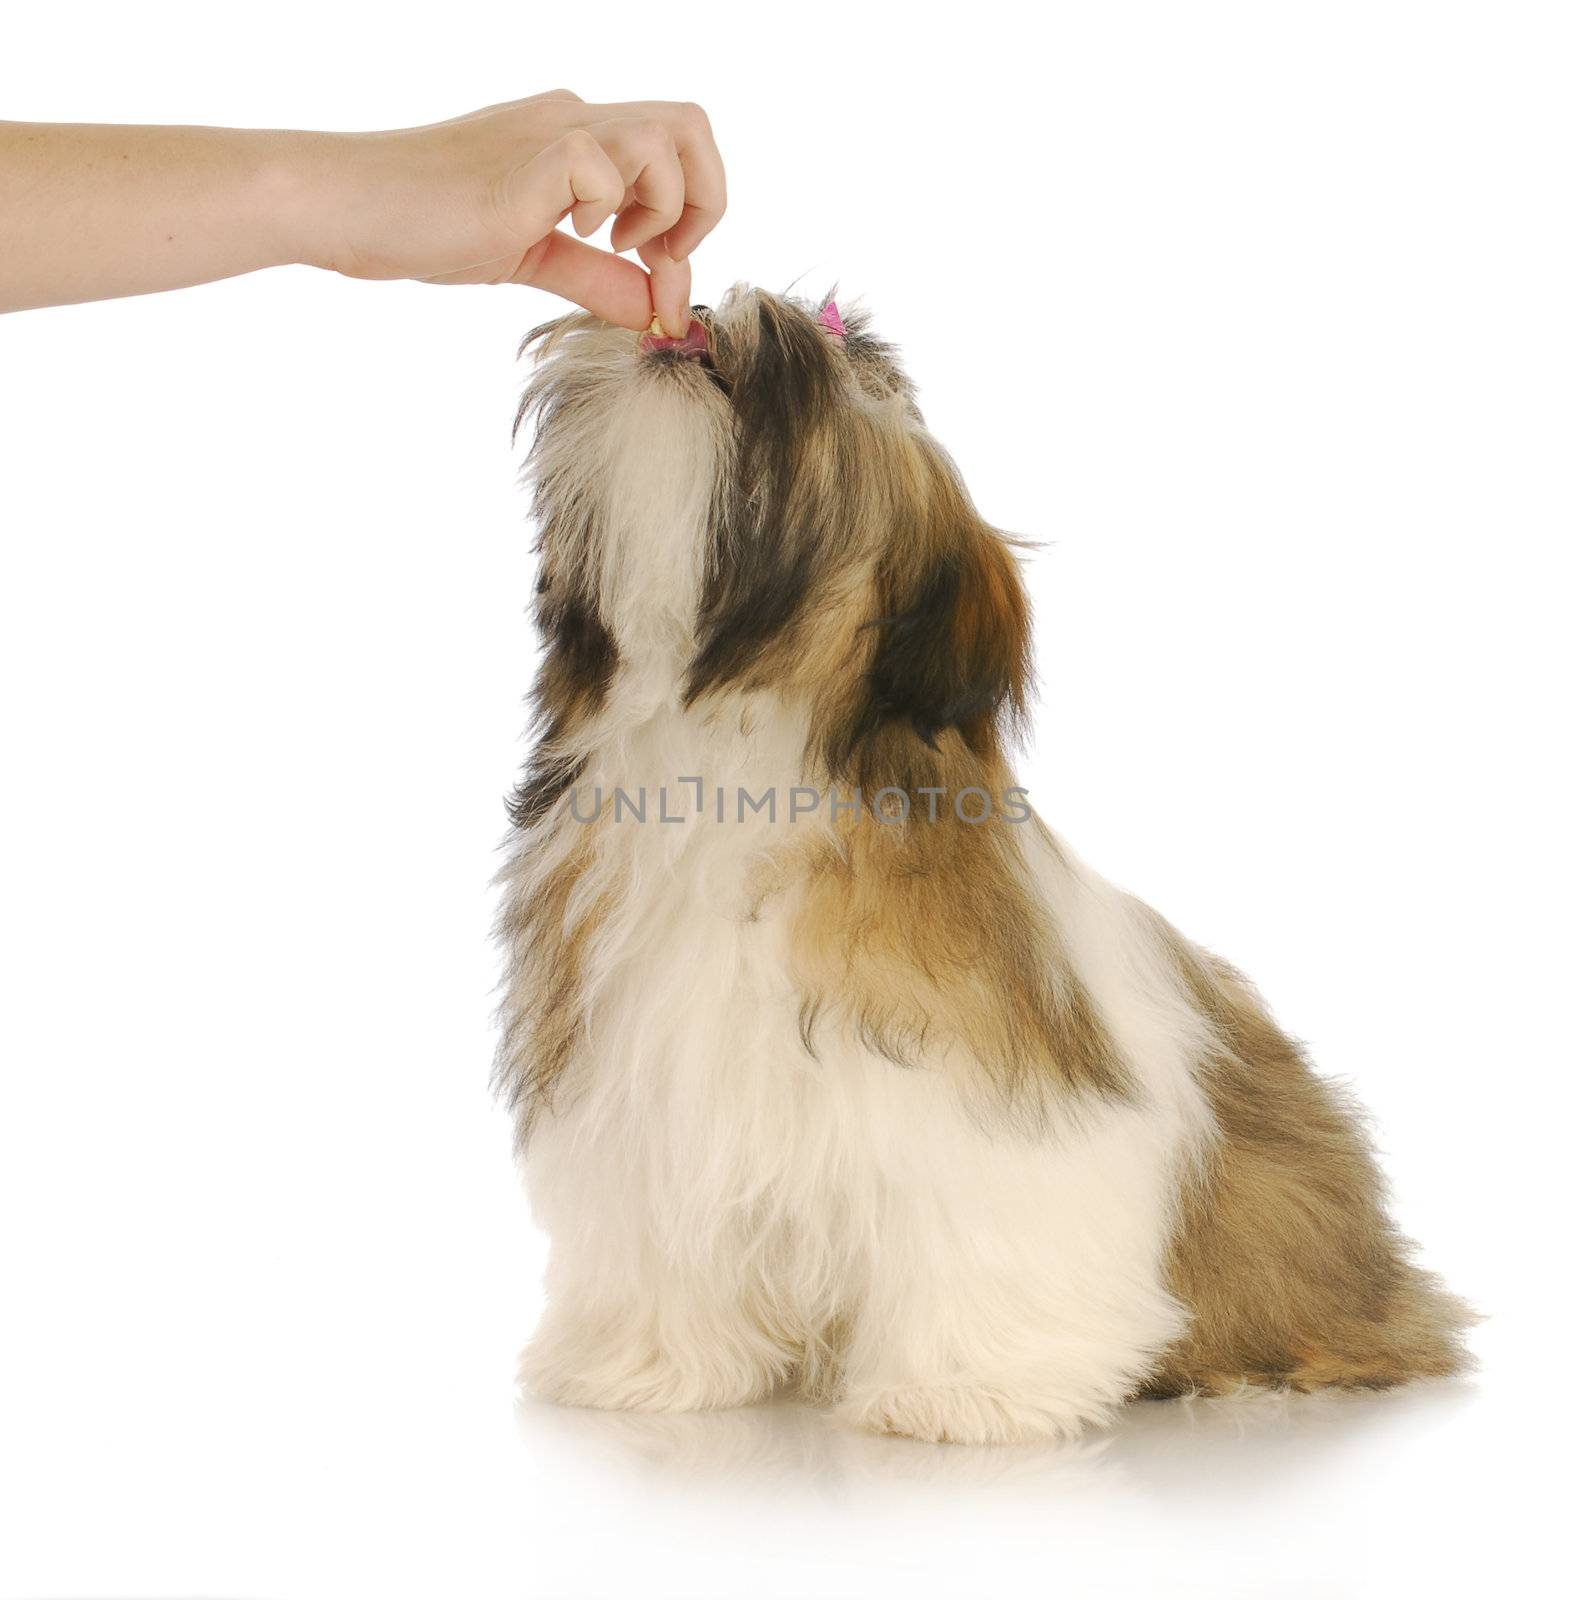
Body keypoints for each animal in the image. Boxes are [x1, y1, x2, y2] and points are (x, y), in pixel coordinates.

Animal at [495, 288, 1471, 1452]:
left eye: (833, 374)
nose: (709, 311)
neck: (727, 757)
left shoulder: (983, 1108)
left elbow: (980, 1230)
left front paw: (965, 1391)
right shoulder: (652, 1098)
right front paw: (647, 1362)